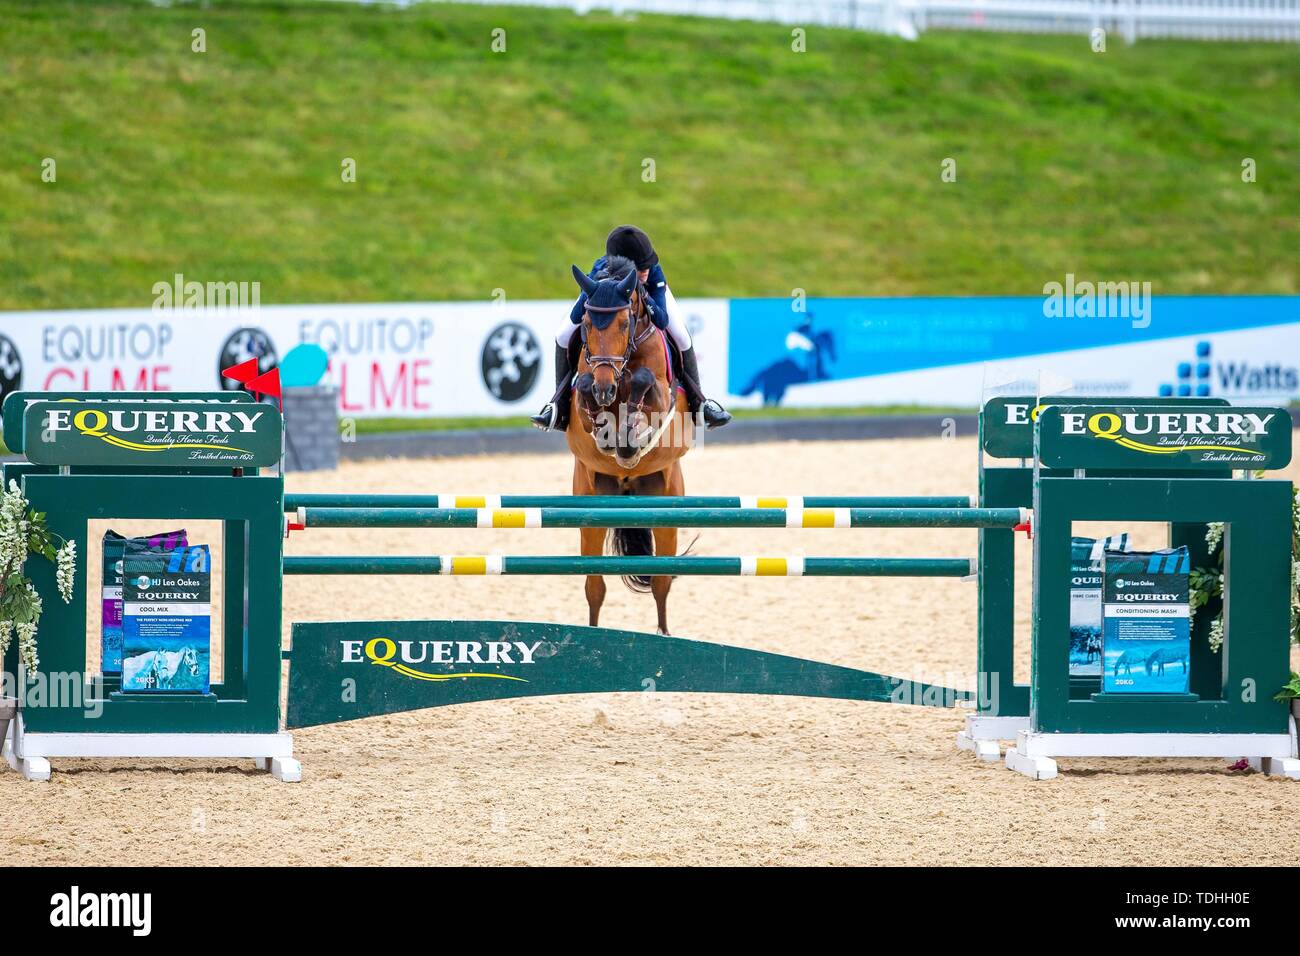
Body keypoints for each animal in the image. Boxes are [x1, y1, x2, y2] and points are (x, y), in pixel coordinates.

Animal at [564, 257, 696, 639]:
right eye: (586, 324)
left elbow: (644, 382)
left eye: (624, 323)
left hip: (666, 504)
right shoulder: (584, 398)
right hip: (591, 510)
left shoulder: (664, 398)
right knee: (594, 586)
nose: (606, 386)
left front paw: (629, 438)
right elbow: (585, 388)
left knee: (661, 583)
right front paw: (610, 429)